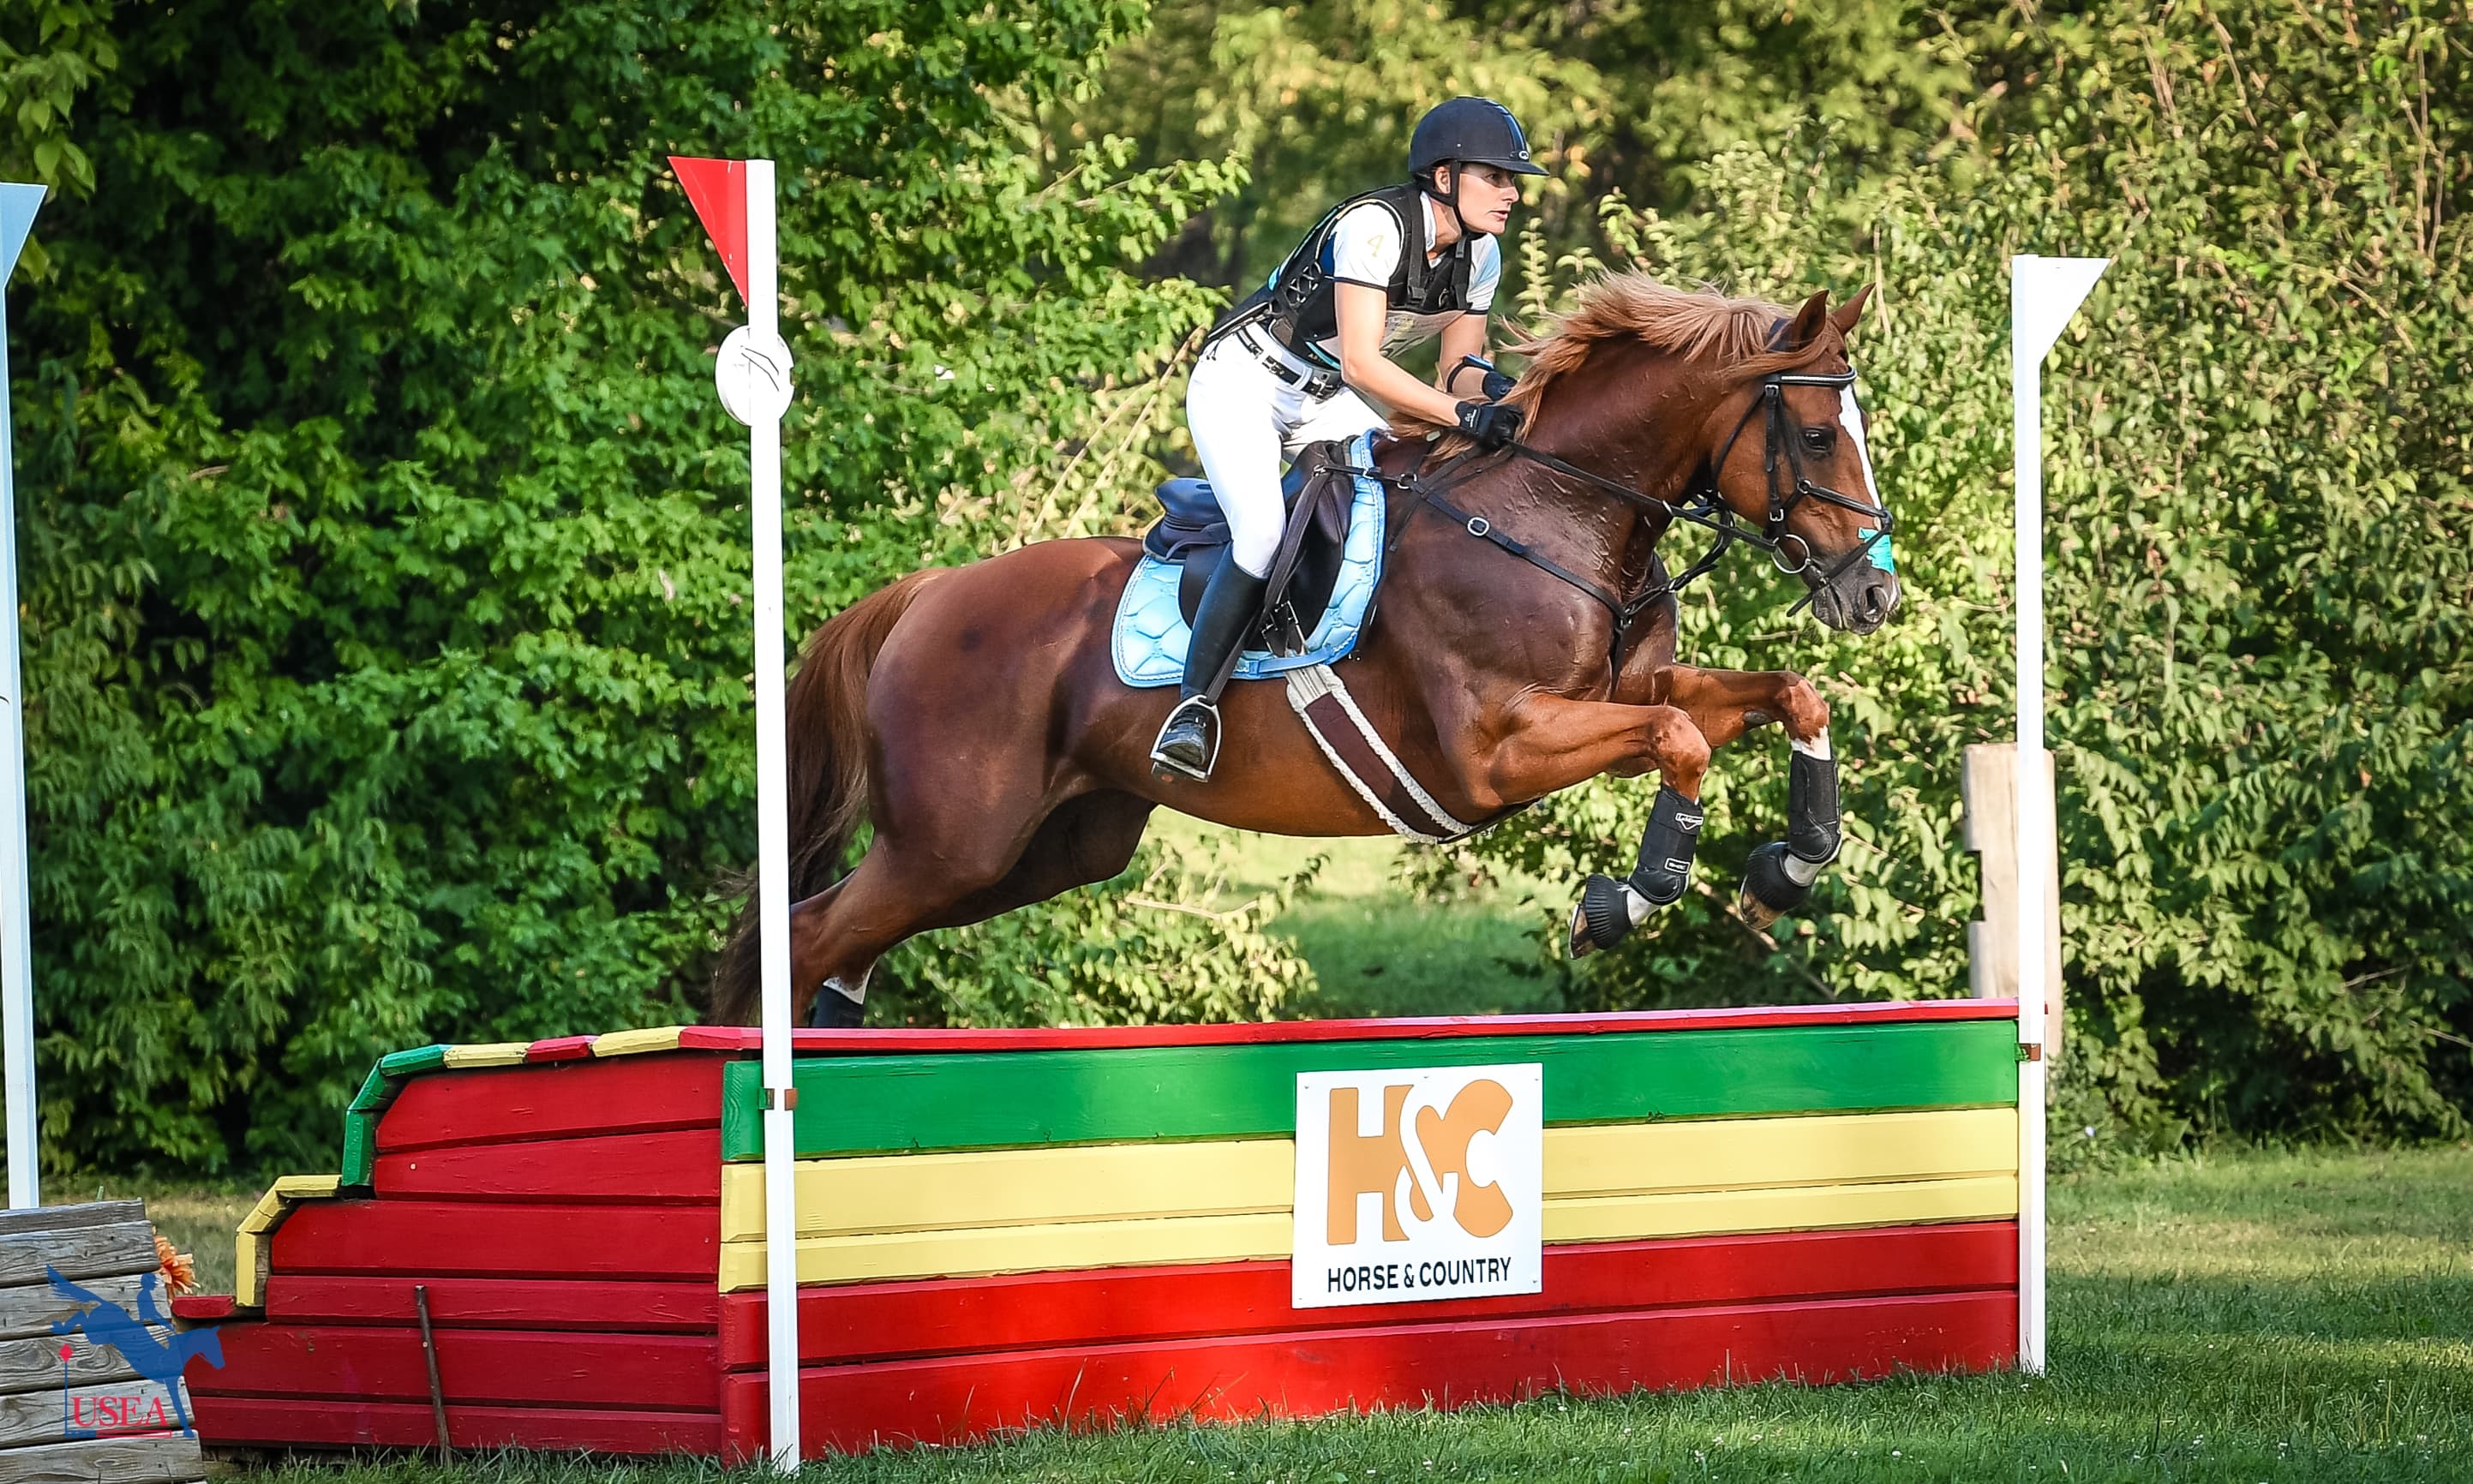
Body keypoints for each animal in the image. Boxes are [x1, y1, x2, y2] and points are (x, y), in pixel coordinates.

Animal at [709, 275, 1898, 1027]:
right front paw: (1628, 899)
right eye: (1818, 435)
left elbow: (1787, 695)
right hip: (951, 840)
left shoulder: (1629, 688)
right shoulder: (1495, 752)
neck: (1556, 511)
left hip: (1040, 849)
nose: (1876, 590)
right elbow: (1681, 740)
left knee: (838, 938)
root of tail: (922, 596)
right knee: (810, 933)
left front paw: (1791, 863)